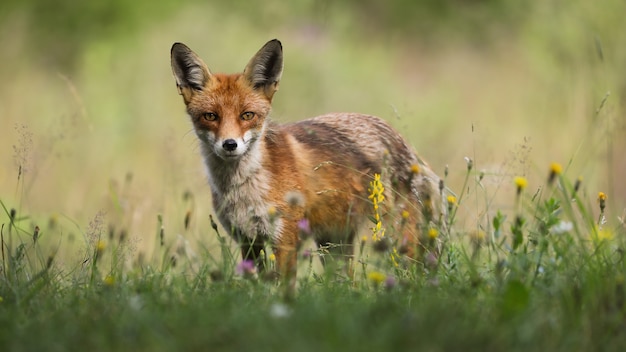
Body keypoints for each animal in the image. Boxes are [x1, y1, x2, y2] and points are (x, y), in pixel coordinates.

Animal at [169, 38, 444, 288]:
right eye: (210, 116)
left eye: (247, 115)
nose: (229, 144)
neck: (244, 190)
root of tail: (400, 139)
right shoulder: (248, 240)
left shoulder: (285, 239)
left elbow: (282, 289)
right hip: (334, 244)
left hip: (397, 237)